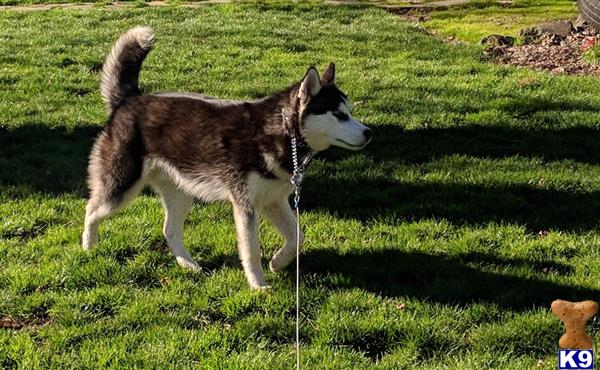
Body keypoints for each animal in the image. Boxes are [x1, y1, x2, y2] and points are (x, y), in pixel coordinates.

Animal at [79, 28, 370, 290]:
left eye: (350, 112)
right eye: (339, 115)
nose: (369, 133)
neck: (283, 132)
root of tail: (130, 99)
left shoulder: (273, 200)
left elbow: (297, 238)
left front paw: (278, 263)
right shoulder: (245, 206)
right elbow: (251, 251)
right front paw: (258, 286)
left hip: (181, 193)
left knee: (169, 230)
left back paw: (188, 264)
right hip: (121, 188)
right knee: (91, 210)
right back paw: (88, 245)